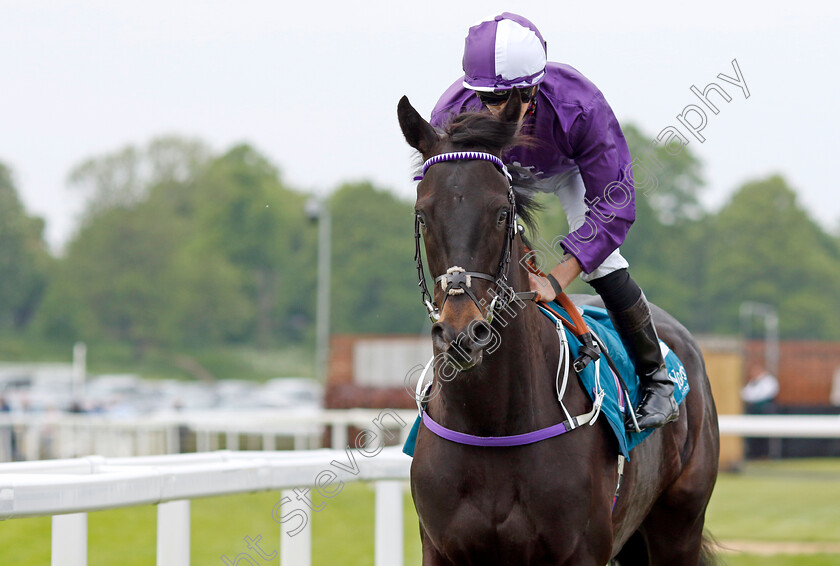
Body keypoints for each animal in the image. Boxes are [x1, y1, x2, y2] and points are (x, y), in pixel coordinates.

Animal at [398, 94, 720, 566]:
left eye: (501, 213)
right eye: (423, 214)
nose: (461, 335)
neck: (491, 424)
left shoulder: (583, 549)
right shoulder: (441, 549)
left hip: (679, 524)